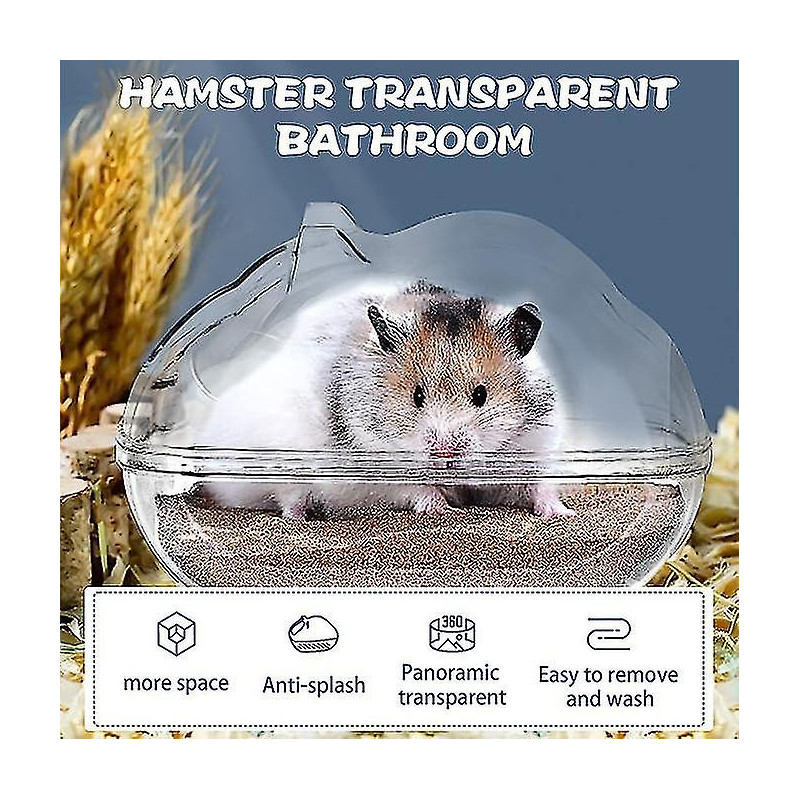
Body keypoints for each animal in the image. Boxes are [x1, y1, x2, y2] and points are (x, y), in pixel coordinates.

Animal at [199, 280, 574, 519]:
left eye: (481, 394)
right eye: (417, 396)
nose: (444, 454)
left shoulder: (537, 447)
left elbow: (540, 485)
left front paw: (561, 514)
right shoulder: (380, 470)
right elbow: (415, 491)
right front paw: (444, 508)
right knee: (289, 496)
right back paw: (301, 517)